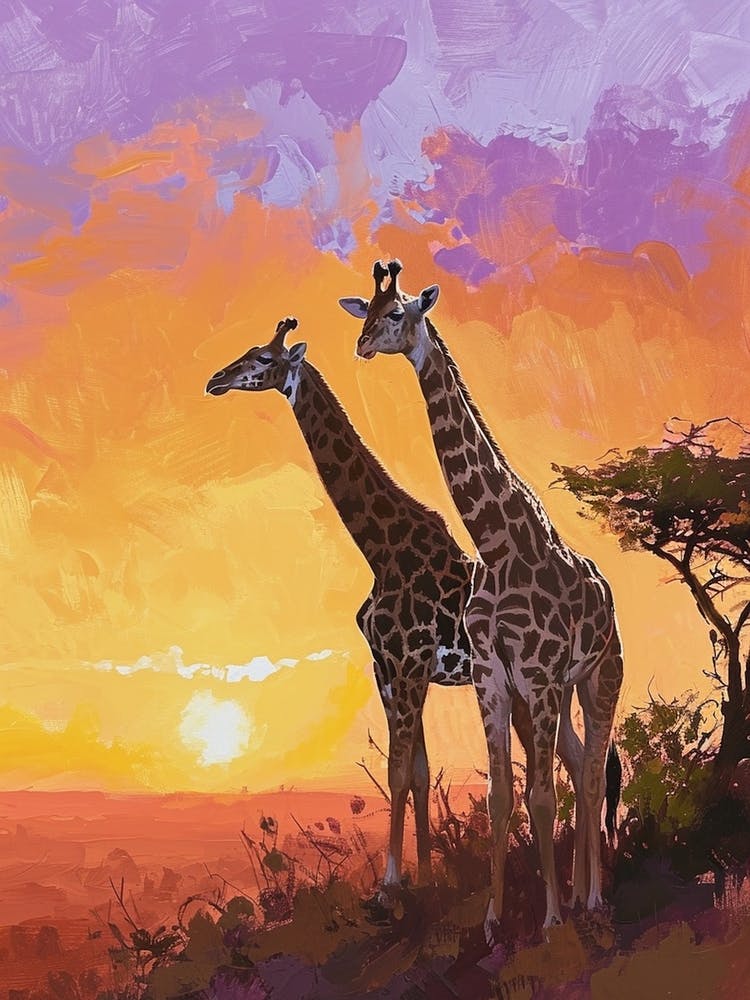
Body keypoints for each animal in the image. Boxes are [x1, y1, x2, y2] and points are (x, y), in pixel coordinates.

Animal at [205, 316, 479, 897]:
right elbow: (417, 771)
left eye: (265, 359)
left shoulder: (411, 661)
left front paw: (391, 883)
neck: (382, 550)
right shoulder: (388, 666)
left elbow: (399, 771)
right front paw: (426, 877)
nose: (216, 380)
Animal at [340, 262, 623, 934]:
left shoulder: (535, 673)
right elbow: (500, 796)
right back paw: (580, 894)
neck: (495, 542)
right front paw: (495, 918)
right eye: (368, 311)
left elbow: (541, 795)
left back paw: (591, 902)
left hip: (600, 675)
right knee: (581, 764)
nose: (361, 345)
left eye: (398, 314)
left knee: (591, 773)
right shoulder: (495, 675)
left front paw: (548, 921)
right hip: (563, 687)